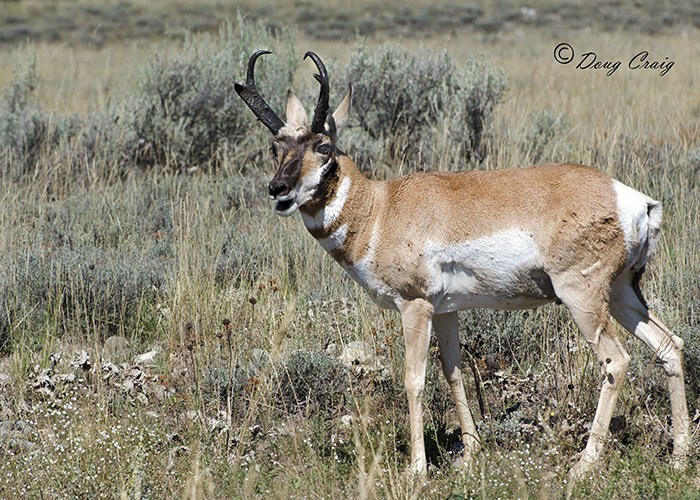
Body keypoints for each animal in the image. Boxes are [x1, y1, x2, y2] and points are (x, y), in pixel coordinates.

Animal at [235, 50, 690, 479]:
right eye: (276, 147)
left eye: (323, 147)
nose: (278, 190)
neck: (381, 208)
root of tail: (633, 199)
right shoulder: (445, 311)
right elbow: (452, 372)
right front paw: (470, 456)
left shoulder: (414, 306)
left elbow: (414, 379)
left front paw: (417, 468)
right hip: (622, 293)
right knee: (670, 345)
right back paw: (680, 458)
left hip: (583, 299)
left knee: (617, 361)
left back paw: (585, 464)